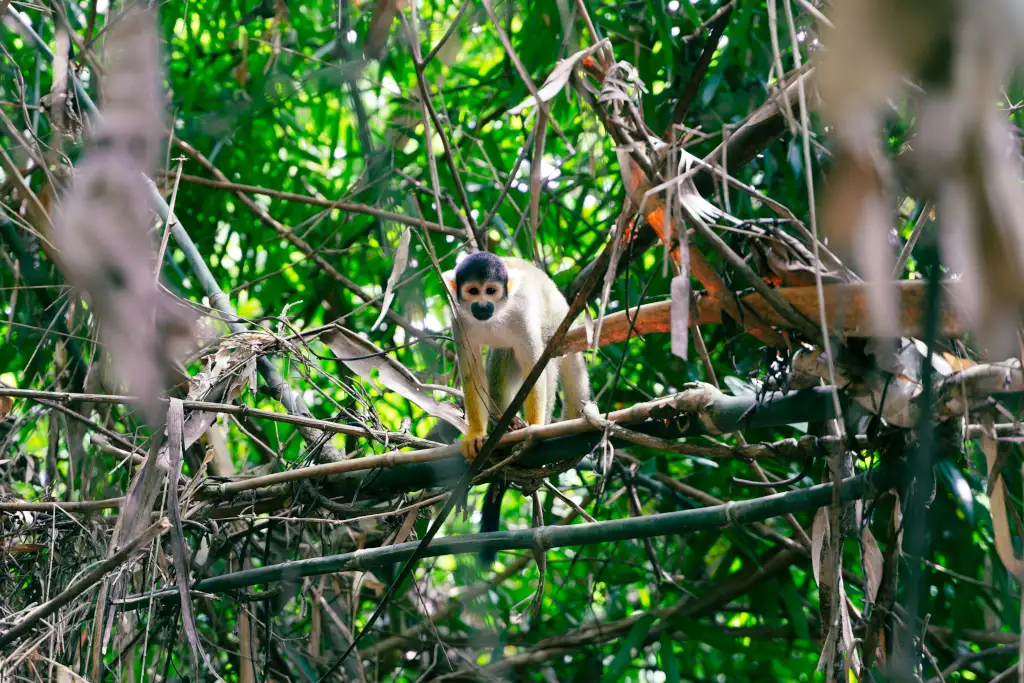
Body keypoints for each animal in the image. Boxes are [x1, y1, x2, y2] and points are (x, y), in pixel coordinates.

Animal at [442, 252, 591, 561]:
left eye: (491, 290)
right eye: (472, 291)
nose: (482, 305)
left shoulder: (522, 314)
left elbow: (536, 364)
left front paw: (533, 430)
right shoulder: (458, 319)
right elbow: (471, 371)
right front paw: (476, 435)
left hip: (558, 321)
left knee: (549, 356)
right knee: (501, 357)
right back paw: (504, 425)